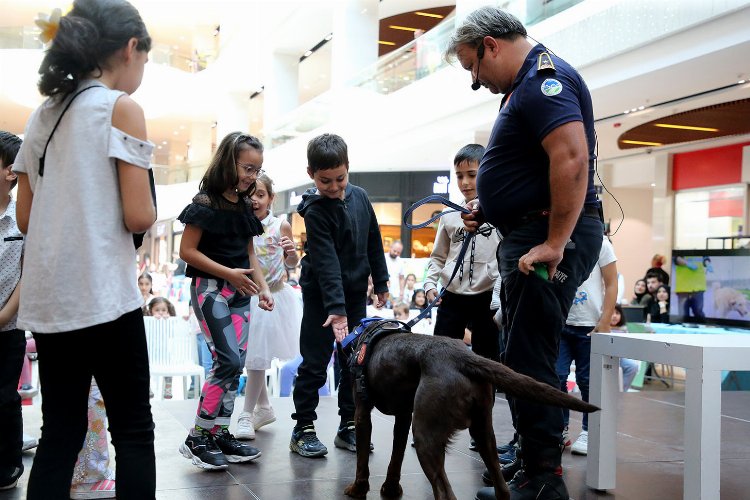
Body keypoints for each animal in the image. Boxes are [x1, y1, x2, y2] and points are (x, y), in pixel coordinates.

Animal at [346, 332, 600, 500]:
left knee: (445, 493)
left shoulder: (362, 414)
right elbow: (396, 457)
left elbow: (362, 460)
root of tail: (465, 357)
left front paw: (357, 489)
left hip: (425, 436)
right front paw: (390, 489)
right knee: (502, 487)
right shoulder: (402, 417)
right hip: (483, 432)